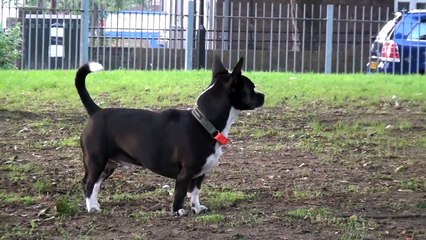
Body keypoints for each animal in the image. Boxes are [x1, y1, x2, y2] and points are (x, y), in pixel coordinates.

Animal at [75, 55, 264, 216]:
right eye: (252, 88)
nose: (263, 95)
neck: (203, 123)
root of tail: (96, 111)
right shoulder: (185, 173)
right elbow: (180, 193)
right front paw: (178, 211)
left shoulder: (200, 174)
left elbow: (195, 192)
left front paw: (197, 207)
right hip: (96, 160)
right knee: (88, 183)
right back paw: (91, 208)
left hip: (108, 165)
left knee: (95, 184)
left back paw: (95, 204)